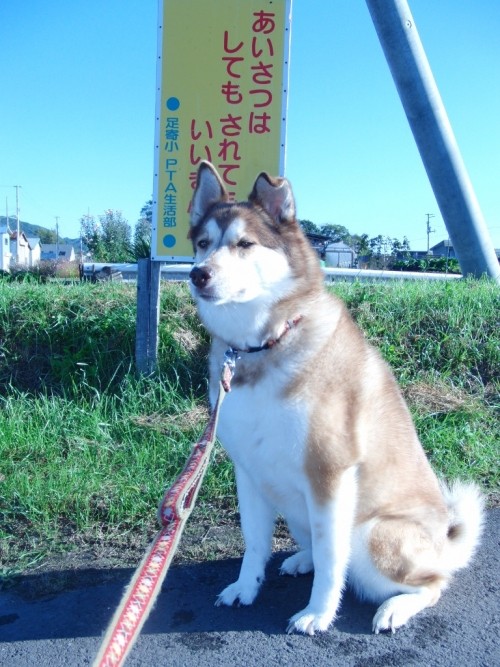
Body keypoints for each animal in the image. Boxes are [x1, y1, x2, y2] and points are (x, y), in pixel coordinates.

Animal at [188, 162, 484, 636]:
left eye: (244, 244)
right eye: (202, 244)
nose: (198, 274)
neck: (263, 345)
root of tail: (443, 543)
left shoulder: (330, 473)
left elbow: (332, 561)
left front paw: (318, 614)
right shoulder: (248, 470)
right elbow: (254, 542)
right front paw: (246, 588)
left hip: (371, 533)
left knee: (432, 582)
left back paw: (395, 608)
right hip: (295, 506)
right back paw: (300, 559)